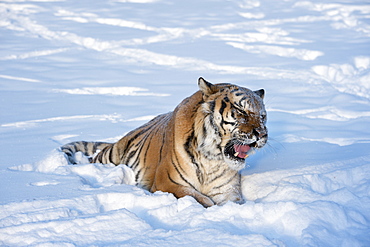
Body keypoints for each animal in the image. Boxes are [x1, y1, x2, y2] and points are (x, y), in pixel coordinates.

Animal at [61, 77, 268, 206]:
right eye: (240, 111)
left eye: (263, 116)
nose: (262, 134)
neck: (212, 158)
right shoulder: (168, 183)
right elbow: (202, 200)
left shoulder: (228, 191)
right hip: (110, 157)